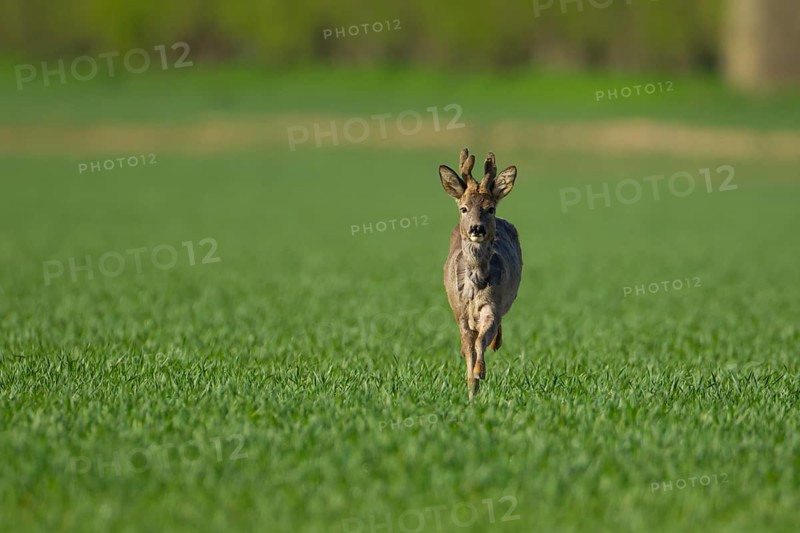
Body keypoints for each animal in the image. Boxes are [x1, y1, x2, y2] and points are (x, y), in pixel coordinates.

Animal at [439, 148, 522, 400]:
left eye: (490, 208)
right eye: (463, 208)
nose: (477, 228)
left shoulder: (492, 306)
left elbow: (481, 341)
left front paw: (480, 372)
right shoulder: (460, 311)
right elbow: (468, 348)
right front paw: (471, 390)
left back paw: (496, 344)